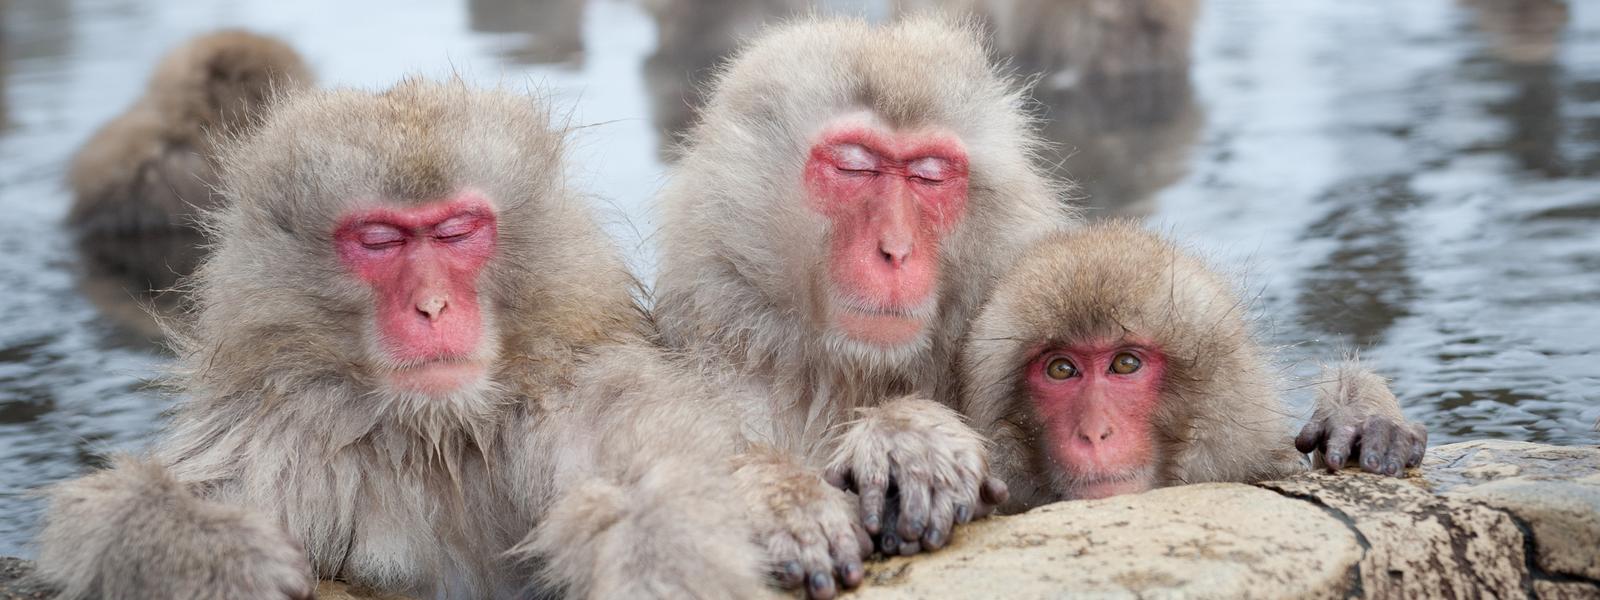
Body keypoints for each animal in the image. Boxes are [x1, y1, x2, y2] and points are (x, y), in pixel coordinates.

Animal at [33, 79, 768, 599]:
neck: (439, 432)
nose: (431, 306)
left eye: (456, 231)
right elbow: (105, 513)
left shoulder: (583, 395)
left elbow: (652, 485)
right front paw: (216, 559)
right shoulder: (276, 431)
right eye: (381, 240)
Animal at [652, 16, 1070, 596]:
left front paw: (909, 437)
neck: (847, 374)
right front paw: (786, 498)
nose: (895, 249)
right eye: (854, 168)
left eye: (929, 175)